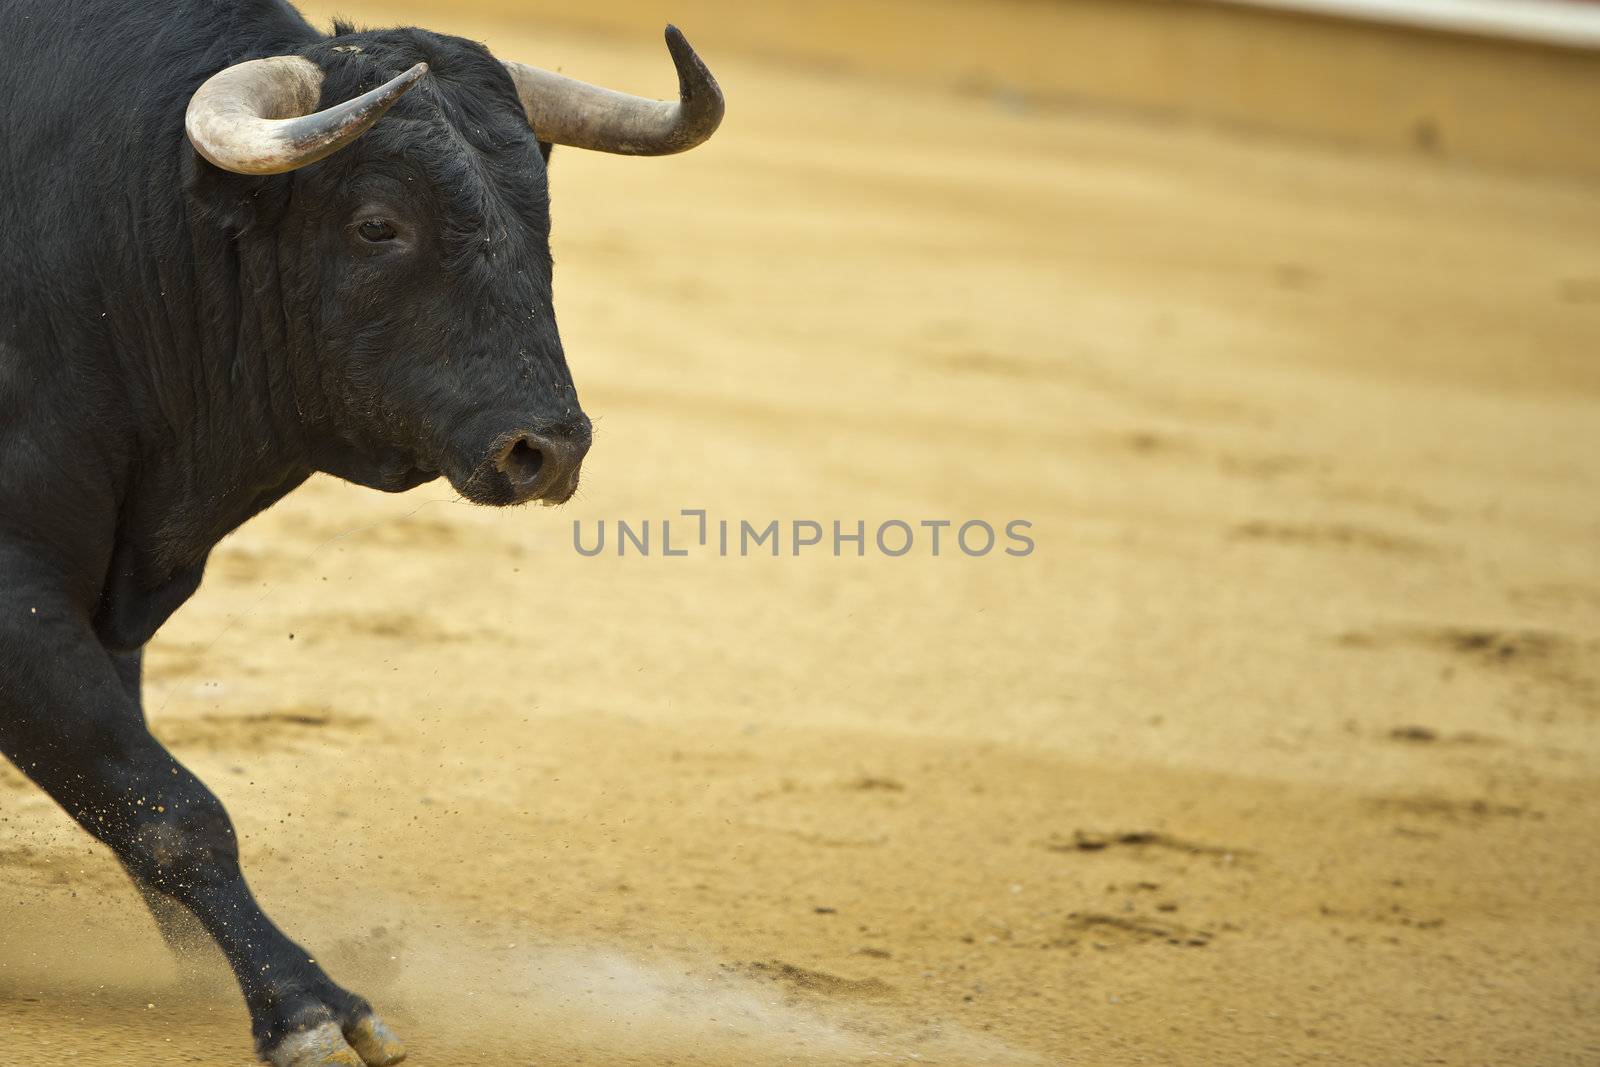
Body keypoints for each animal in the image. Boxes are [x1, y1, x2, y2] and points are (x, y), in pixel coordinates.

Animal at [0, 4, 720, 1062]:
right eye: (378, 225)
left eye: (541, 212)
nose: (546, 448)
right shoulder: (18, 593)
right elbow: (166, 803)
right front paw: (306, 1005)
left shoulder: (101, 593)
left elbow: (124, 789)